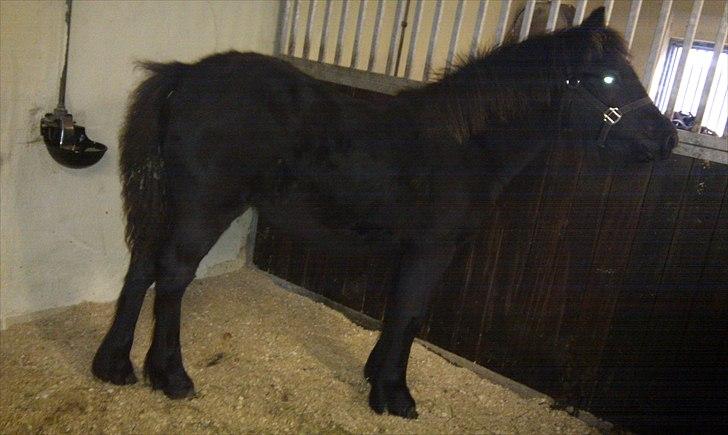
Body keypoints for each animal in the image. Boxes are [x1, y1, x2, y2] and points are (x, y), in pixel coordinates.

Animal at [92, 8, 677, 418]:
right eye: (608, 79)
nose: (666, 139)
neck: (464, 144)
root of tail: (185, 75)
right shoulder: (433, 249)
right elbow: (411, 313)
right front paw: (395, 396)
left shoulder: (411, 250)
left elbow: (397, 311)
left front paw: (376, 377)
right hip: (204, 211)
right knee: (172, 277)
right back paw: (171, 376)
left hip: (169, 206)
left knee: (141, 269)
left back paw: (114, 366)